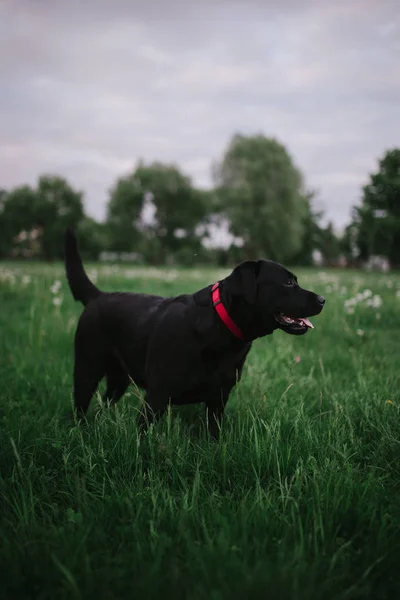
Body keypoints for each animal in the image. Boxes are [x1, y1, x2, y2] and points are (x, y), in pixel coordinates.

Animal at [64, 229, 324, 436]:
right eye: (288, 283)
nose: (323, 299)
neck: (220, 328)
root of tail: (97, 296)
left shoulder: (218, 399)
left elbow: (214, 434)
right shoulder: (157, 397)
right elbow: (142, 436)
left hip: (119, 378)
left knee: (105, 403)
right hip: (87, 369)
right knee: (79, 407)